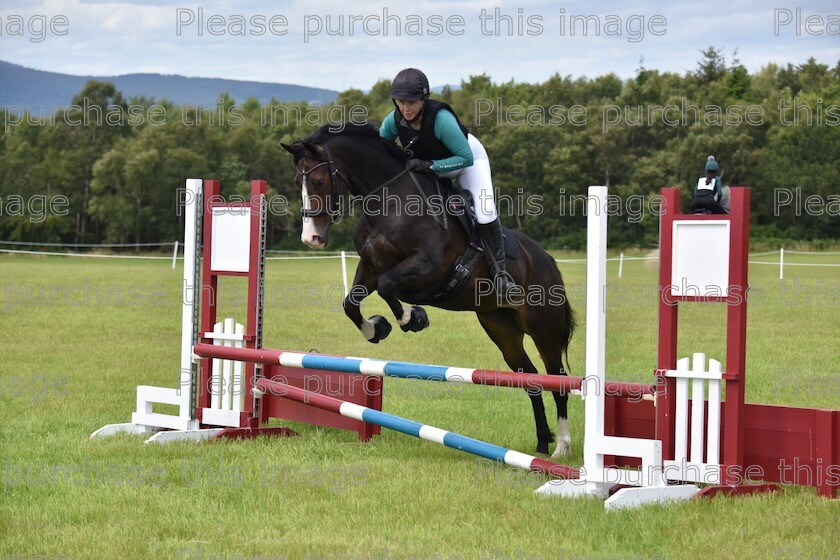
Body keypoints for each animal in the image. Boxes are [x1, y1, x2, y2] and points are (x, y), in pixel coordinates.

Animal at [282, 122, 576, 456]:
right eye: (297, 182)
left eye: (319, 181)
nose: (311, 238)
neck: (390, 201)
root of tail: (547, 260)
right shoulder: (370, 267)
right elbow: (352, 303)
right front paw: (377, 328)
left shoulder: (428, 267)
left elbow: (389, 288)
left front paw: (413, 319)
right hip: (501, 327)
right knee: (531, 378)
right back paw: (541, 443)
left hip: (543, 327)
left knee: (558, 379)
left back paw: (562, 446)